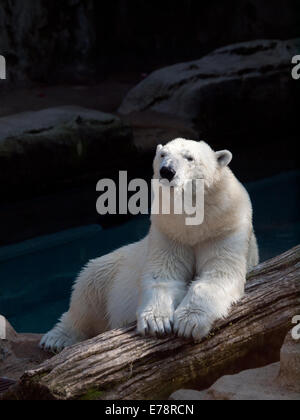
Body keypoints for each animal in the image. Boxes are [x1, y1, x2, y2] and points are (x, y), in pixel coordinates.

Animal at [41, 138, 258, 352]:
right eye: (163, 154)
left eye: (189, 157)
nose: (167, 171)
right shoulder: (169, 232)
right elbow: (162, 274)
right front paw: (156, 322)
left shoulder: (225, 228)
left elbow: (219, 273)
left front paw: (189, 323)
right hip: (111, 268)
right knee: (86, 293)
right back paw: (56, 339)